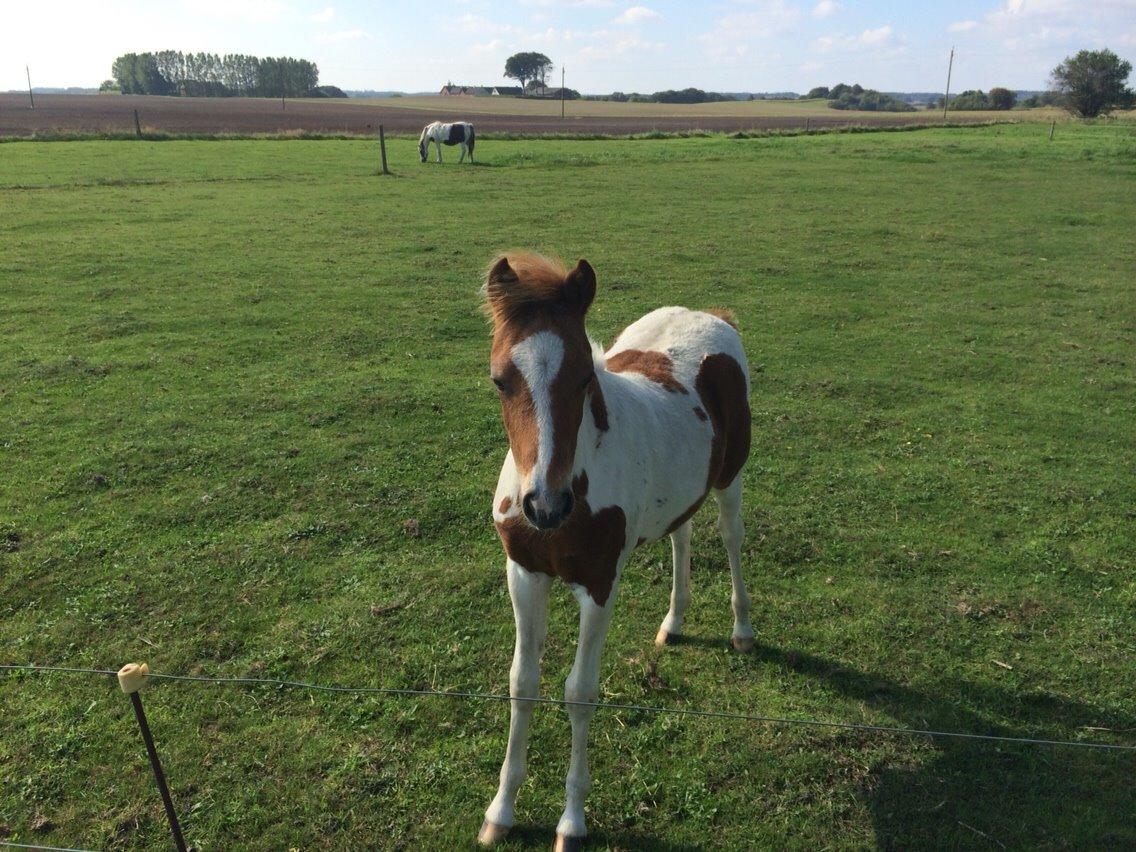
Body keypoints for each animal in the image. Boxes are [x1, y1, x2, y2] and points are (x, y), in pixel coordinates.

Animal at [477, 253, 754, 852]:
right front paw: (501, 811)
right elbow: (522, 684)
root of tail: (711, 315)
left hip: (731, 477)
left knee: (731, 537)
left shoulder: (600, 584)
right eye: (500, 380)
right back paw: (673, 622)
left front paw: (571, 823)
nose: (545, 506)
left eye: (585, 375)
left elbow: (579, 693)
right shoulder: (523, 573)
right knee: (680, 532)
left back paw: (743, 630)